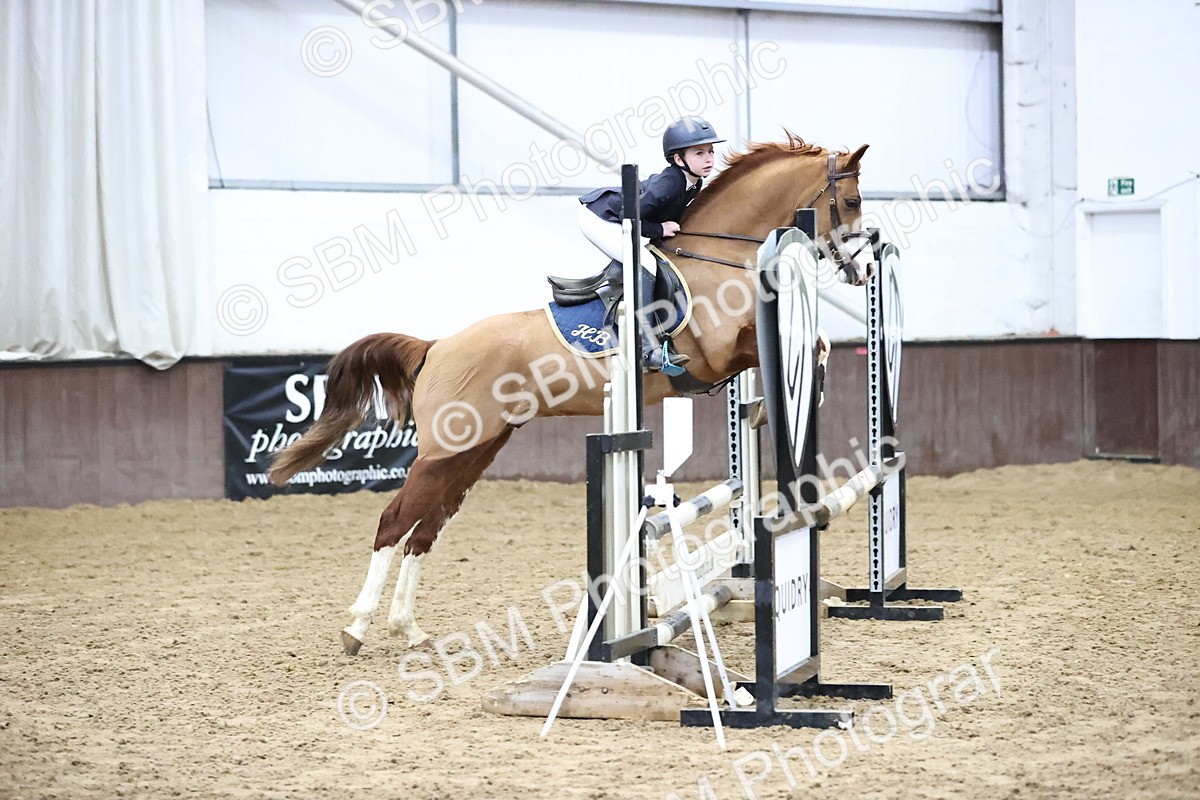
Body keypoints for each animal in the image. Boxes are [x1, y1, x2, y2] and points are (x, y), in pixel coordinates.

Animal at [268, 134, 870, 656]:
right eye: (853, 199)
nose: (866, 268)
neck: (715, 260)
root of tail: (437, 347)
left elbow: (812, 344)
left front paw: (777, 406)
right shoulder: (720, 354)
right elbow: (802, 347)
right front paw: (782, 401)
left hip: (474, 450)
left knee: (426, 529)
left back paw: (408, 628)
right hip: (442, 452)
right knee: (395, 522)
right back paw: (358, 627)